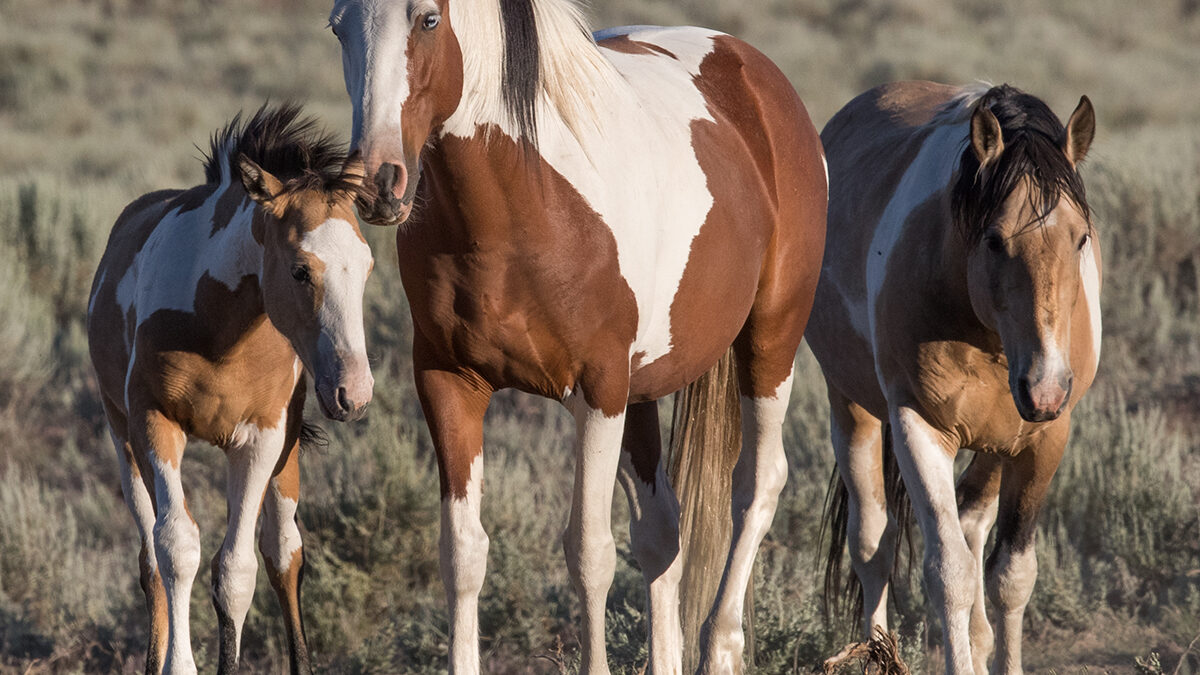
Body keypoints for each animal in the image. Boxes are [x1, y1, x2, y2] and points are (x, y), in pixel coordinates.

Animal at [87, 100, 374, 672]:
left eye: (369, 266)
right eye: (301, 270)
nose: (353, 393)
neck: (219, 329)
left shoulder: (262, 438)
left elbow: (237, 571)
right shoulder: (153, 423)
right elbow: (177, 550)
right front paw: (179, 664)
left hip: (287, 455)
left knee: (284, 552)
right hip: (121, 437)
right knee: (150, 559)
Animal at [331, 2, 835, 667]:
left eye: (428, 20)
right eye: (338, 27)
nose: (376, 181)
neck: (523, 203)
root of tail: (755, 71)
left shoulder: (598, 393)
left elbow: (590, 554)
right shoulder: (448, 383)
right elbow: (463, 552)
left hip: (770, 341)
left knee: (756, 483)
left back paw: (721, 646)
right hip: (642, 393)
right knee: (661, 531)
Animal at [811, 82, 1099, 672]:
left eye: (1081, 238)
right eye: (994, 240)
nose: (1045, 388)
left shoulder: (1044, 440)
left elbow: (1011, 575)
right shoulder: (919, 426)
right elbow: (950, 573)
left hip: (997, 442)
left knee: (970, 521)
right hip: (852, 407)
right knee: (873, 542)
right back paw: (877, 650)